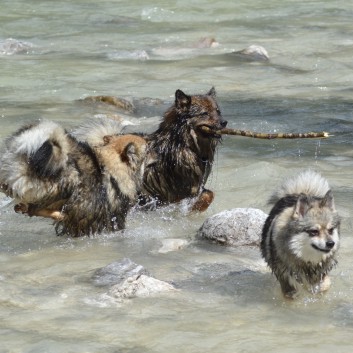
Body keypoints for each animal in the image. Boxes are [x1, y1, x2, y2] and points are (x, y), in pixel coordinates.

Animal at [0, 119, 146, 236]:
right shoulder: (115, 214)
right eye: (147, 149)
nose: (148, 138)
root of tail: (25, 164)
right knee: (39, 208)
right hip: (67, 183)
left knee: (30, 207)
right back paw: (60, 215)